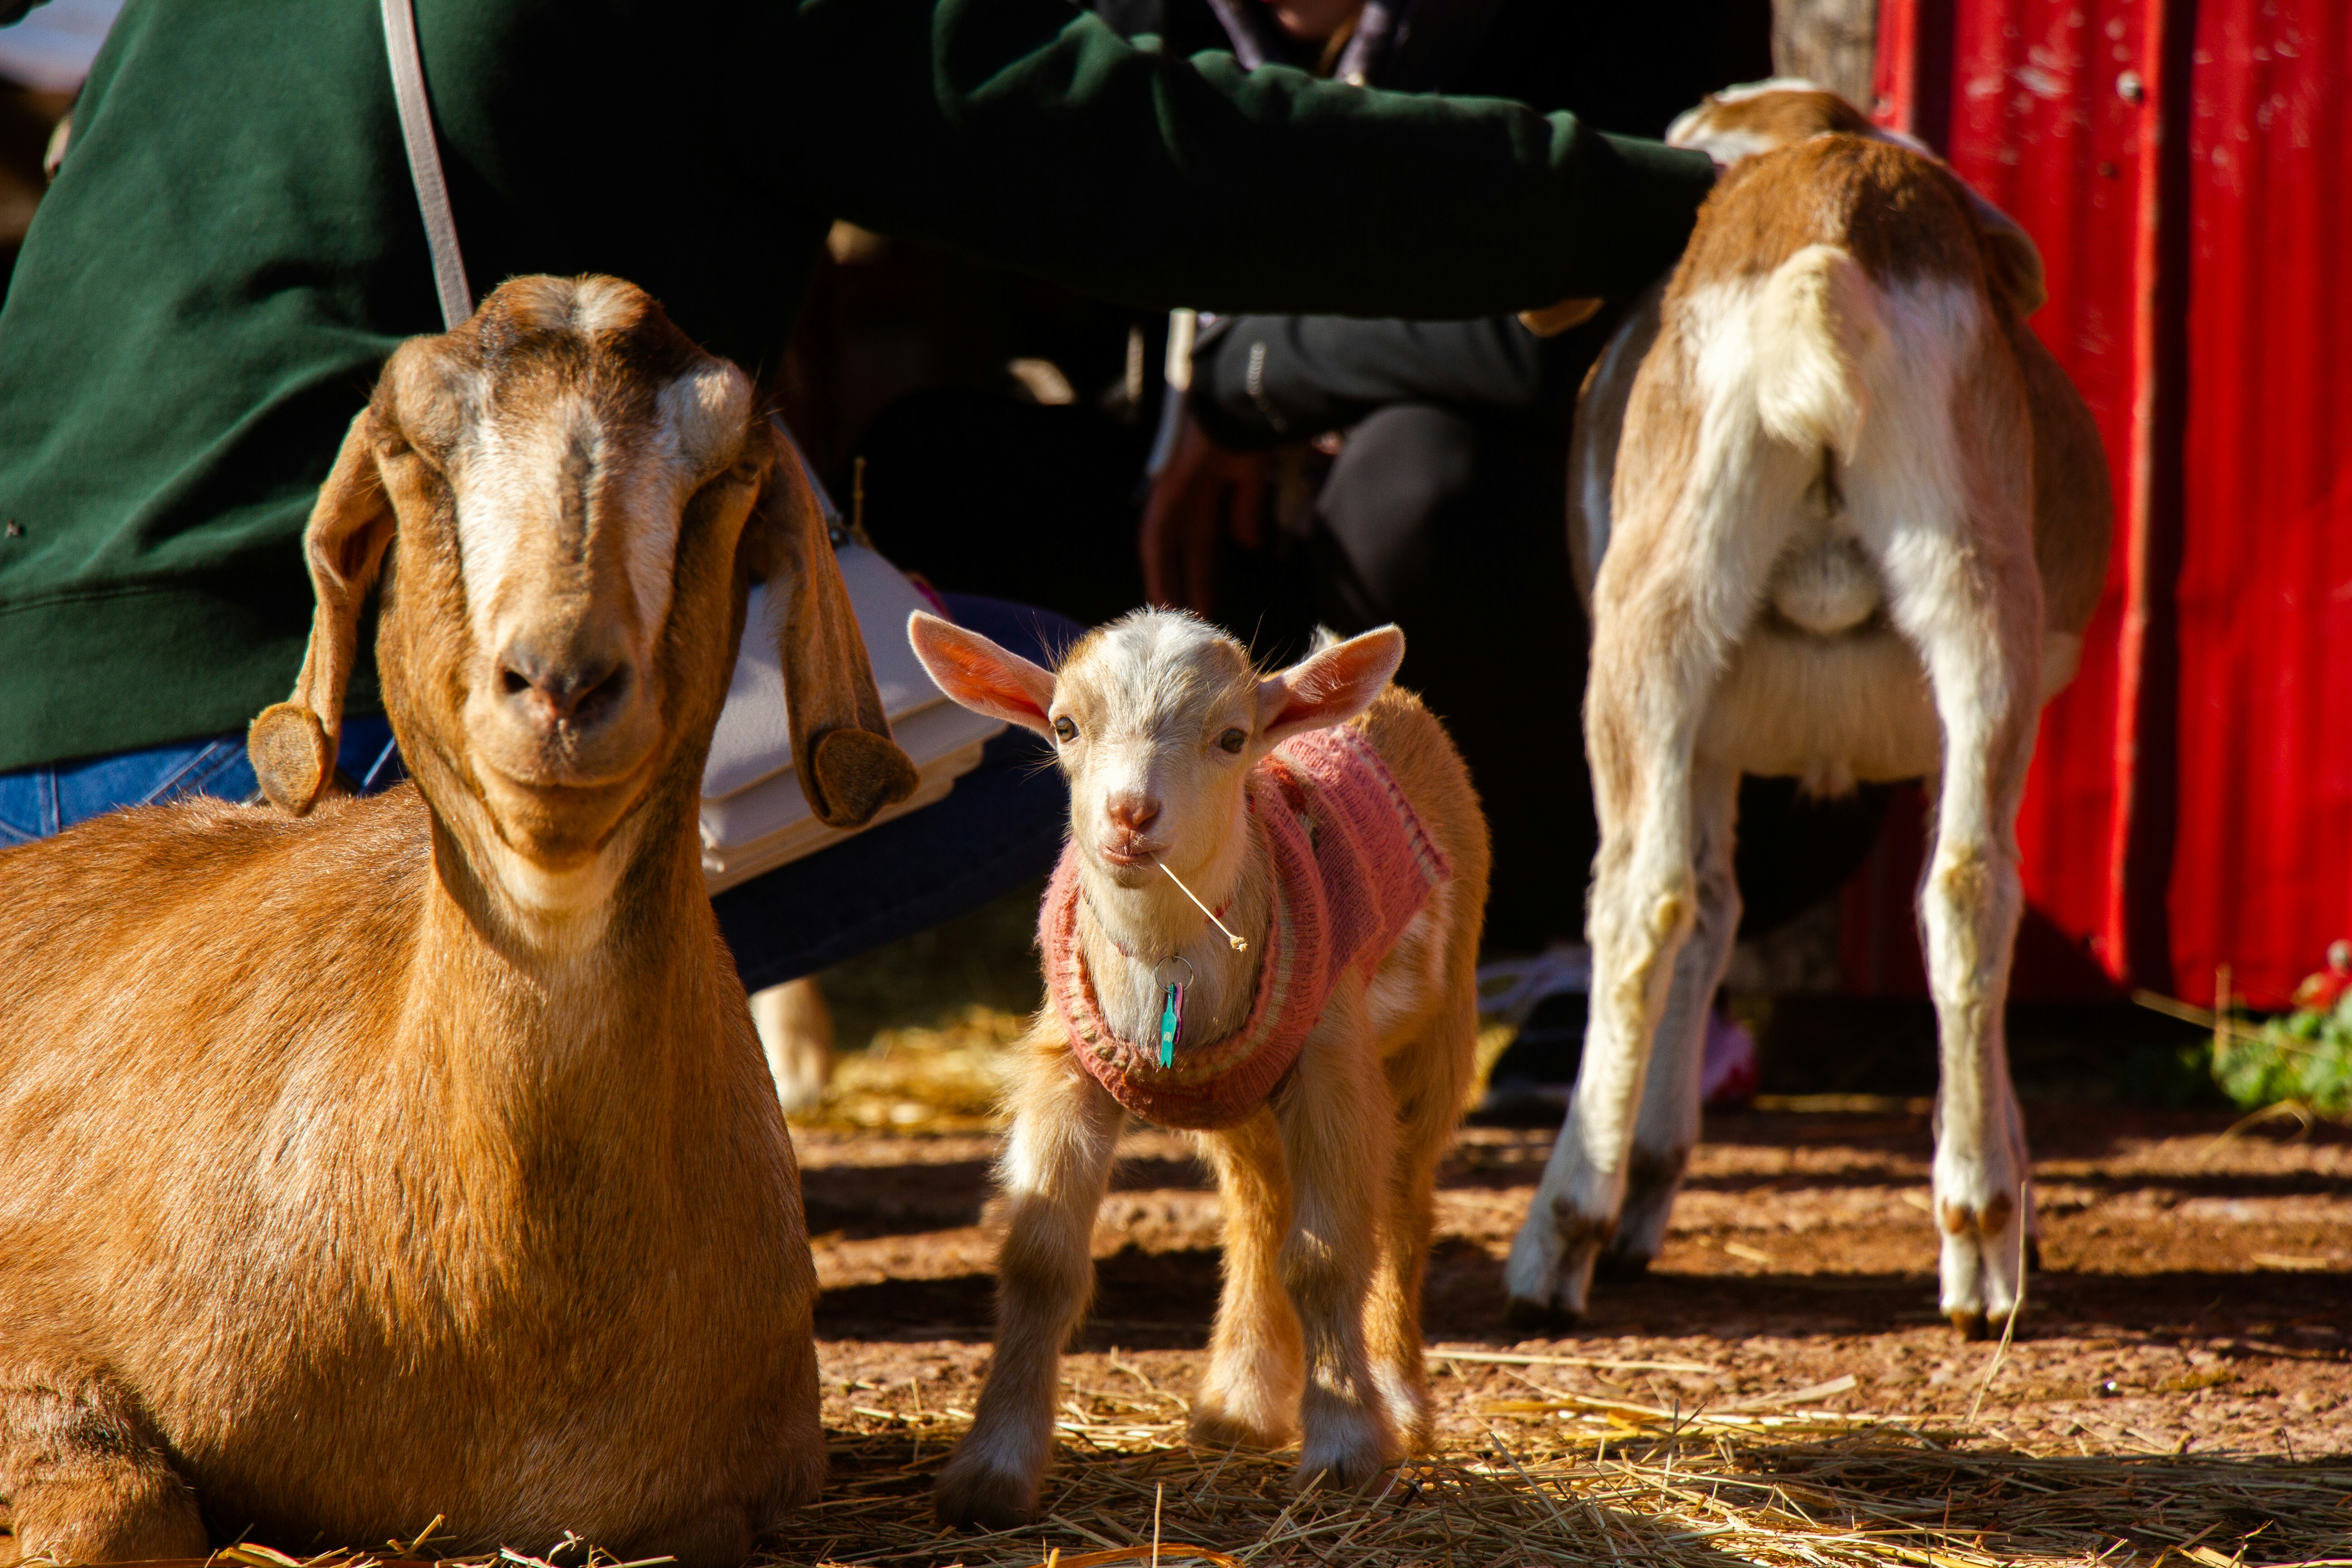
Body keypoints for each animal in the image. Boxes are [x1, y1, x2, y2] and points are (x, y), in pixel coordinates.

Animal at [905, 611, 1488, 1527]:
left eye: (1232, 738)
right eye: (1065, 726)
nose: (1130, 814)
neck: (1171, 963)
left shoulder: (1331, 1058)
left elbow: (1328, 1253)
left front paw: (1346, 1455)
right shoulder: (1066, 1064)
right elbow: (1040, 1259)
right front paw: (989, 1472)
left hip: (1439, 1027)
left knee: (1401, 1203)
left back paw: (1398, 1403)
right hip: (1240, 1098)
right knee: (1257, 1209)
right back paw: (1238, 1407)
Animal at [1505, 87, 2112, 1338]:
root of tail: (1829, 233)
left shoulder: (1701, 739)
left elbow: (1707, 908)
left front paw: (1639, 1194)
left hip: (1648, 629)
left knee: (1638, 899)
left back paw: (1556, 1240)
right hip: (1977, 605)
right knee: (1969, 886)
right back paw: (1978, 1244)